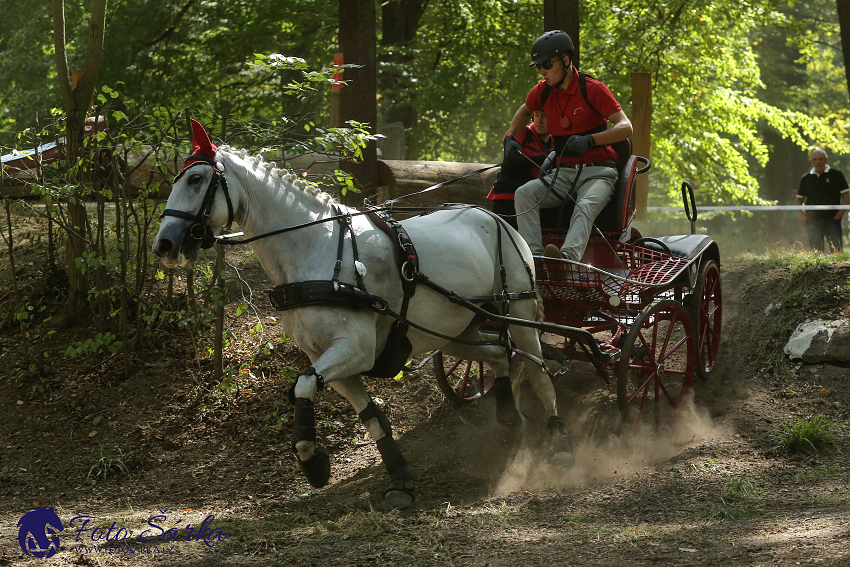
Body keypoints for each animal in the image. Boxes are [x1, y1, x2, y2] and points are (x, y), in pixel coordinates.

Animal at [155, 120, 572, 510]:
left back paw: (558, 437)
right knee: (498, 353)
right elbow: (367, 415)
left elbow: (302, 386)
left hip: (519, 309)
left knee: (537, 367)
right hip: (455, 331)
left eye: (195, 179)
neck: (317, 250)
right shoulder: (324, 356)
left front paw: (312, 462)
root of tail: (495, 218)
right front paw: (395, 477)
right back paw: (507, 414)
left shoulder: (356, 349)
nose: (164, 244)